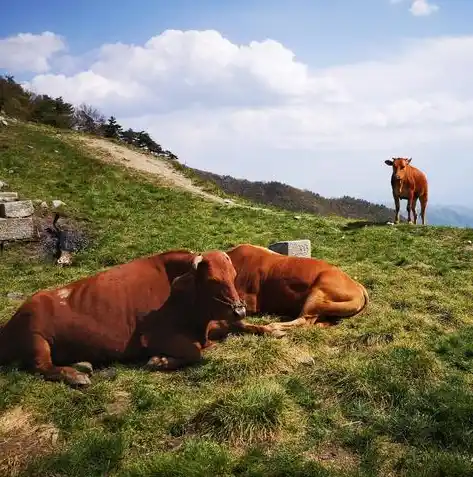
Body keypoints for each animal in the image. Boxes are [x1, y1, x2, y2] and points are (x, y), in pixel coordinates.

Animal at [0, 249, 245, 386]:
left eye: (234, 275)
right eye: (212, 280)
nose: (240, 311)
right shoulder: (152, 337)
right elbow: (194, 351)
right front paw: (159, 361)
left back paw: (83, 365)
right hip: (36, 338)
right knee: (42, 366)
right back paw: (75, 375)